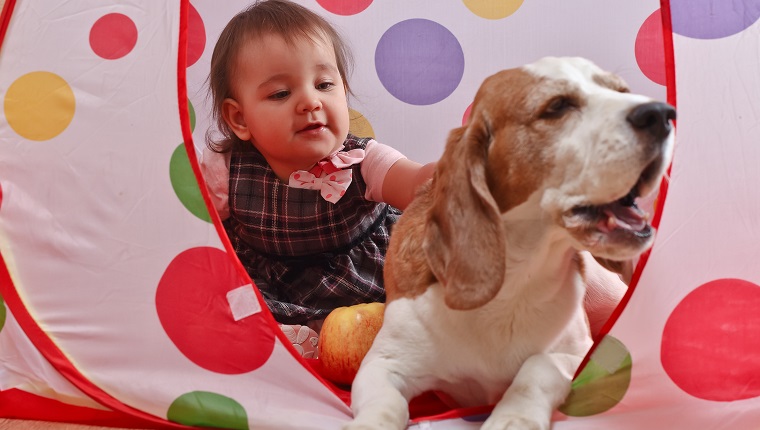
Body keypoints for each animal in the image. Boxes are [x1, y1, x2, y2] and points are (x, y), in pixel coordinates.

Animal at [348, 58, 672, 430]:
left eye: (621, 91)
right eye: (557, 106)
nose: (663, 114)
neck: (515, 278)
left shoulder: (576, 353)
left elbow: (537, 367)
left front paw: (514, 416)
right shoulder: (384, 361)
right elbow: (385, 402)